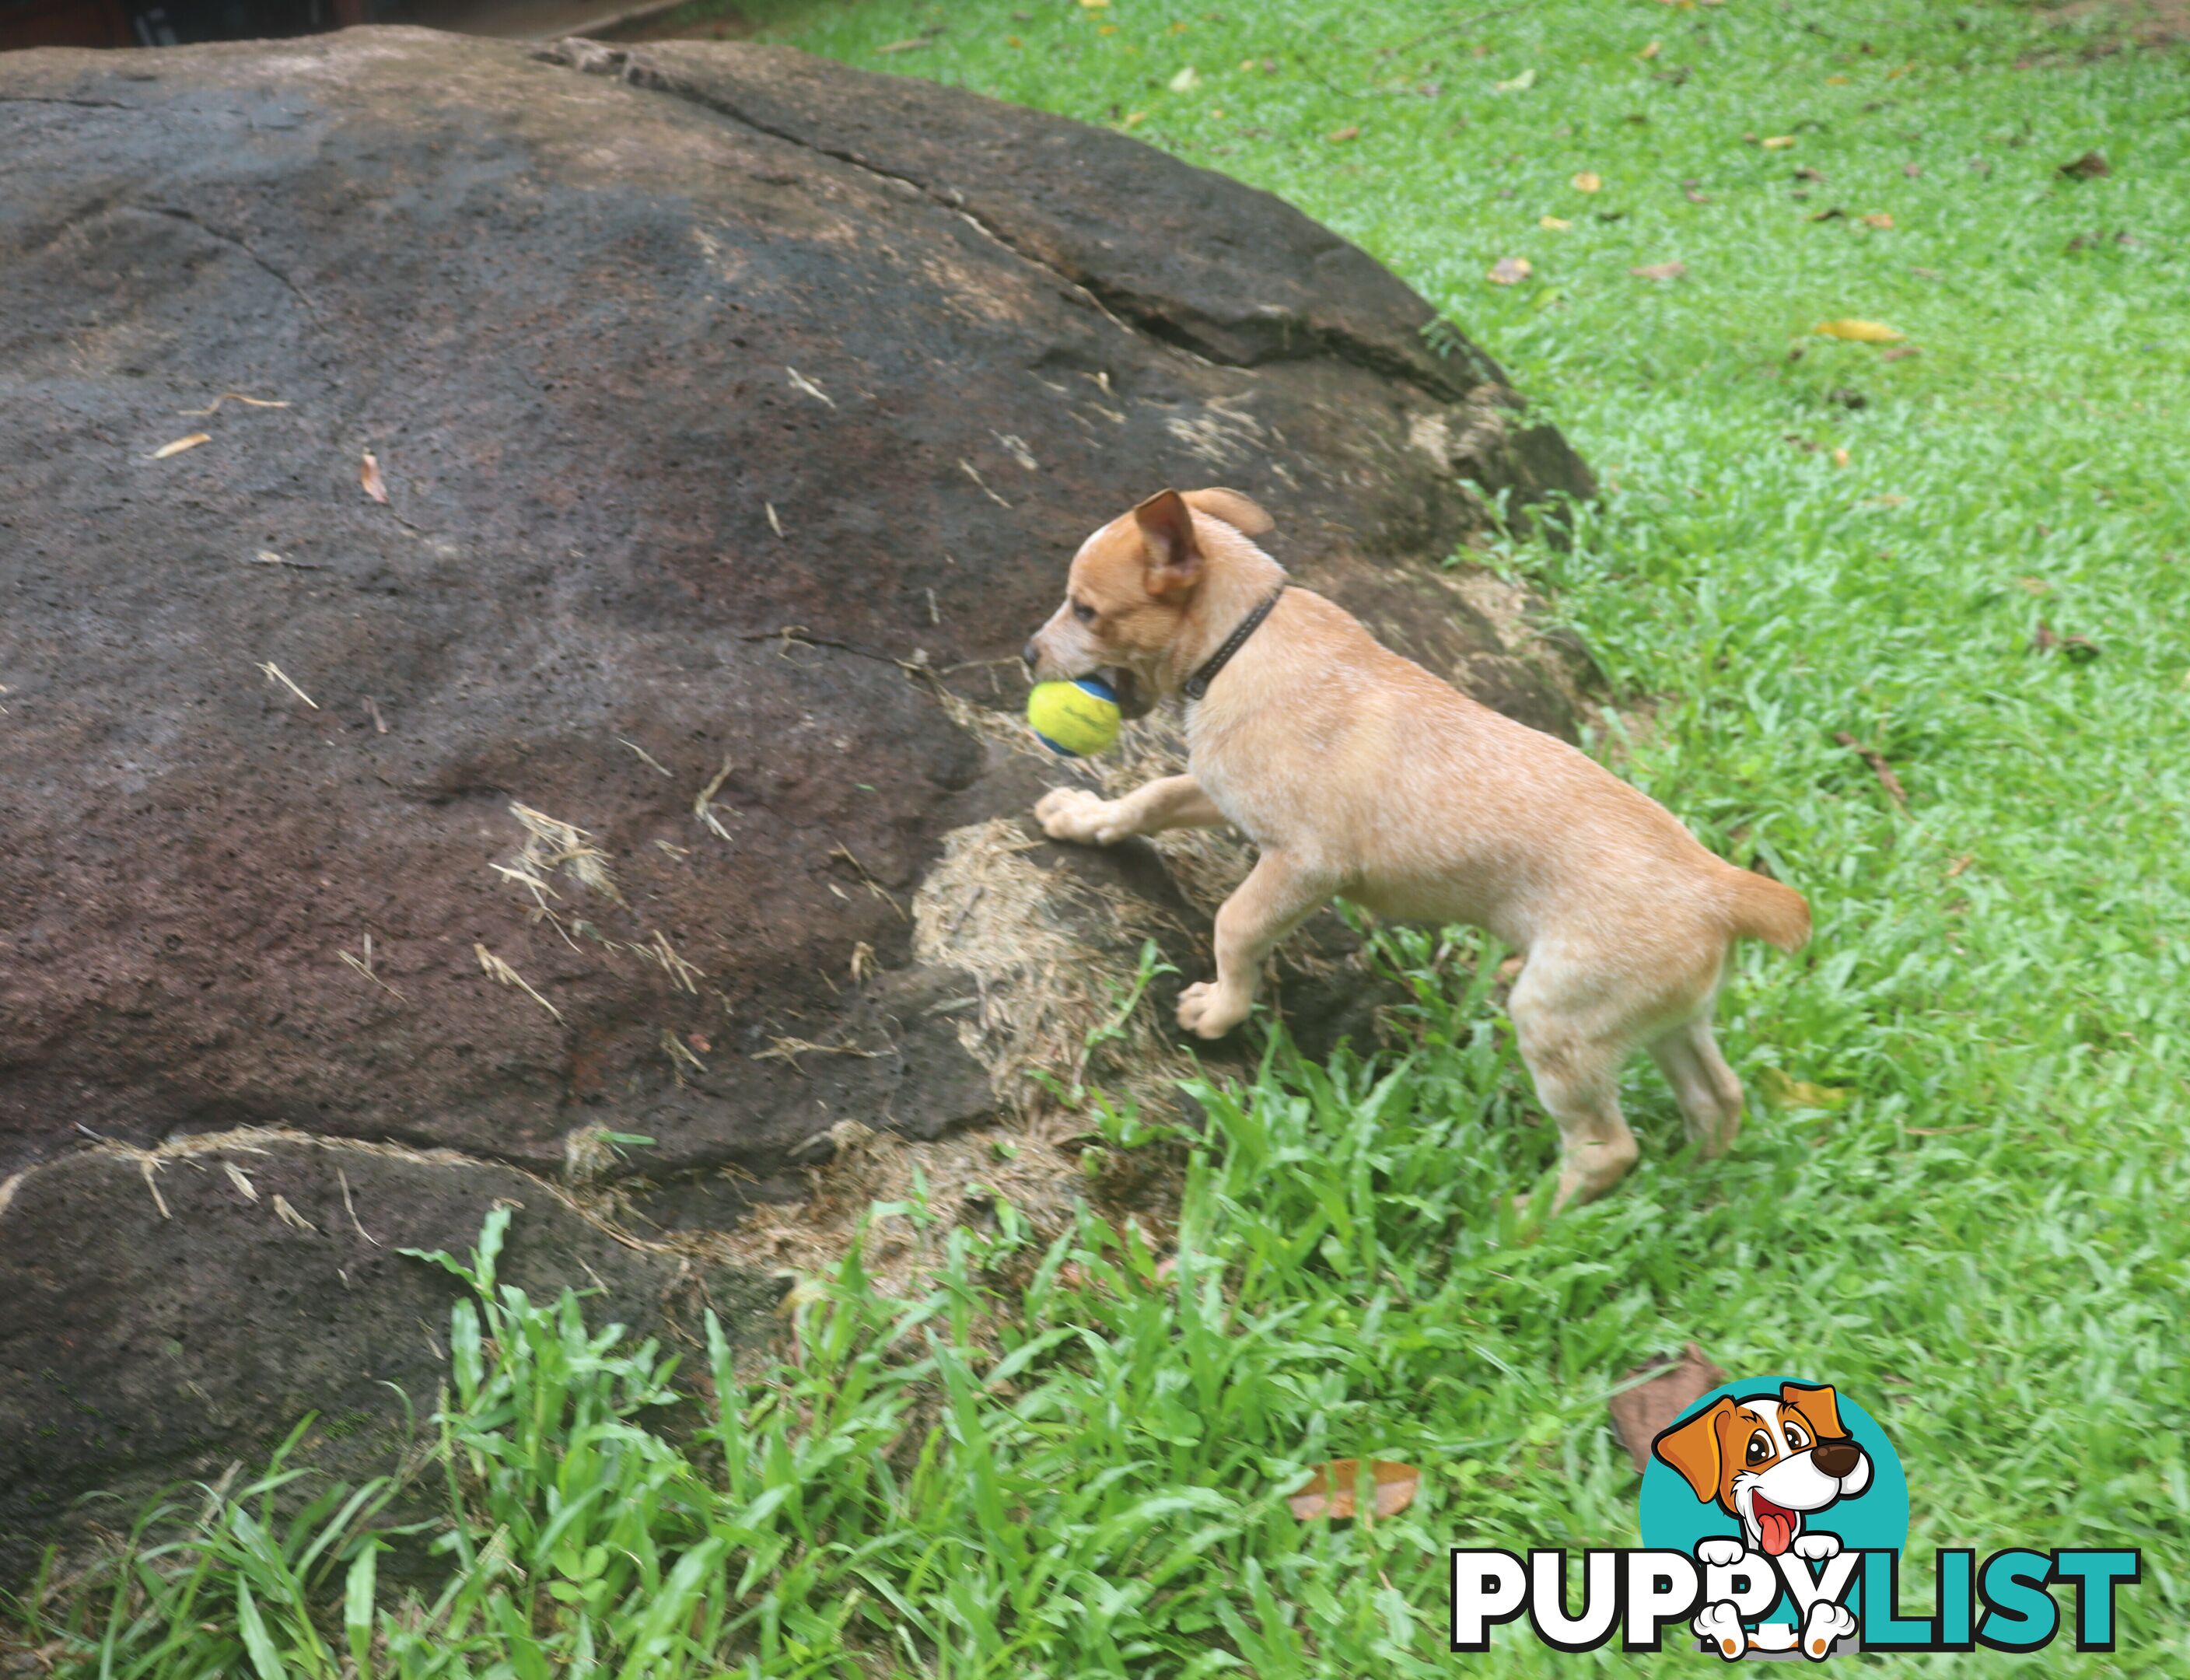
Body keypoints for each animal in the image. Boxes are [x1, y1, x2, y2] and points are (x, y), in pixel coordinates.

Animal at [1024, 486, 1813, 1209]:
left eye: (1085, 610)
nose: (1029, 653)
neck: (1239, 640)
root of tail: (1721, 890)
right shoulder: (1219, 792)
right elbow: (1151, 798)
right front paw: (1084, 819)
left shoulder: (1304, 863)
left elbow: (1235, 925)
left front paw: (1221, 1009)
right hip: (1665, 1021)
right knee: (1720, 1097)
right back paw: (1693, 1186)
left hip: (1556, 1023)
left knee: (1606, 1150)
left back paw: (1520, 1224)